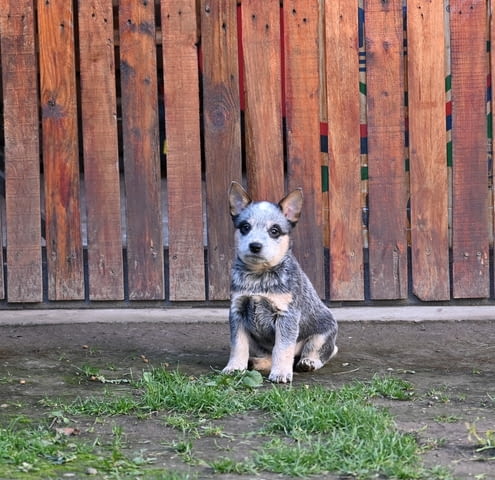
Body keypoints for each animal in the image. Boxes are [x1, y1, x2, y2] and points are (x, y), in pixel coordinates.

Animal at [223, 182, 340, 384]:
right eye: (245, 227)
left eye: (274, 231)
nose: (255, 246)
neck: (258, 277)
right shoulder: (237, 310)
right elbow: (238, 344)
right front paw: (235, 367)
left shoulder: (287, 315)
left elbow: (282, 347)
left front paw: (281, 373)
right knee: (267, 355)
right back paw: (256, 362)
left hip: (324, 332)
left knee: (320, 351)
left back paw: (308, 362)